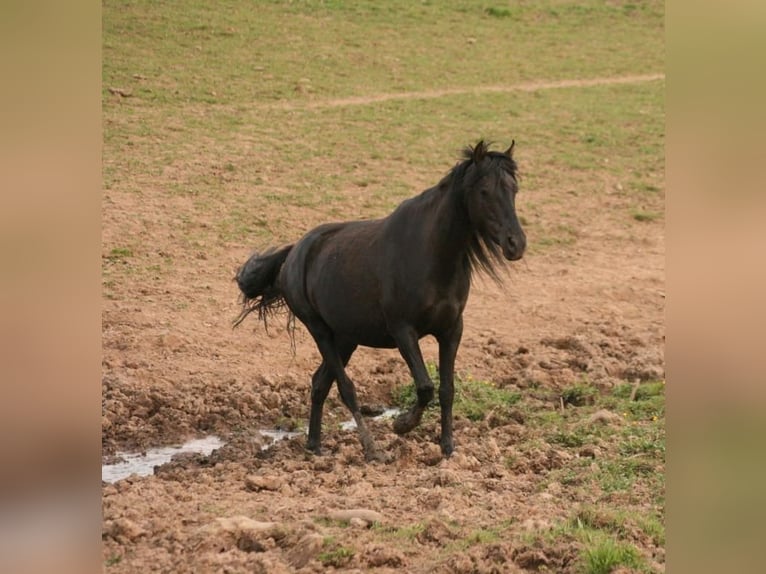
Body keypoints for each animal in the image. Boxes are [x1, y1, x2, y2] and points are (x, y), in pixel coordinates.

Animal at [237, 143, 524, 464]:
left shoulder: (452, 331)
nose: (516, 244)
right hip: (319, 330)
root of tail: (294, 252)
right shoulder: (403, 331)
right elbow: (425, 386)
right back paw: (371, 449)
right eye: (484, 191)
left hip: (345, 338)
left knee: (320, 383)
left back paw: (314, 445)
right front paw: (402, 425)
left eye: (514, 189)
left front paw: (448, 447)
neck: (431, 254)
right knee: (345, 388)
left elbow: (447, 389)